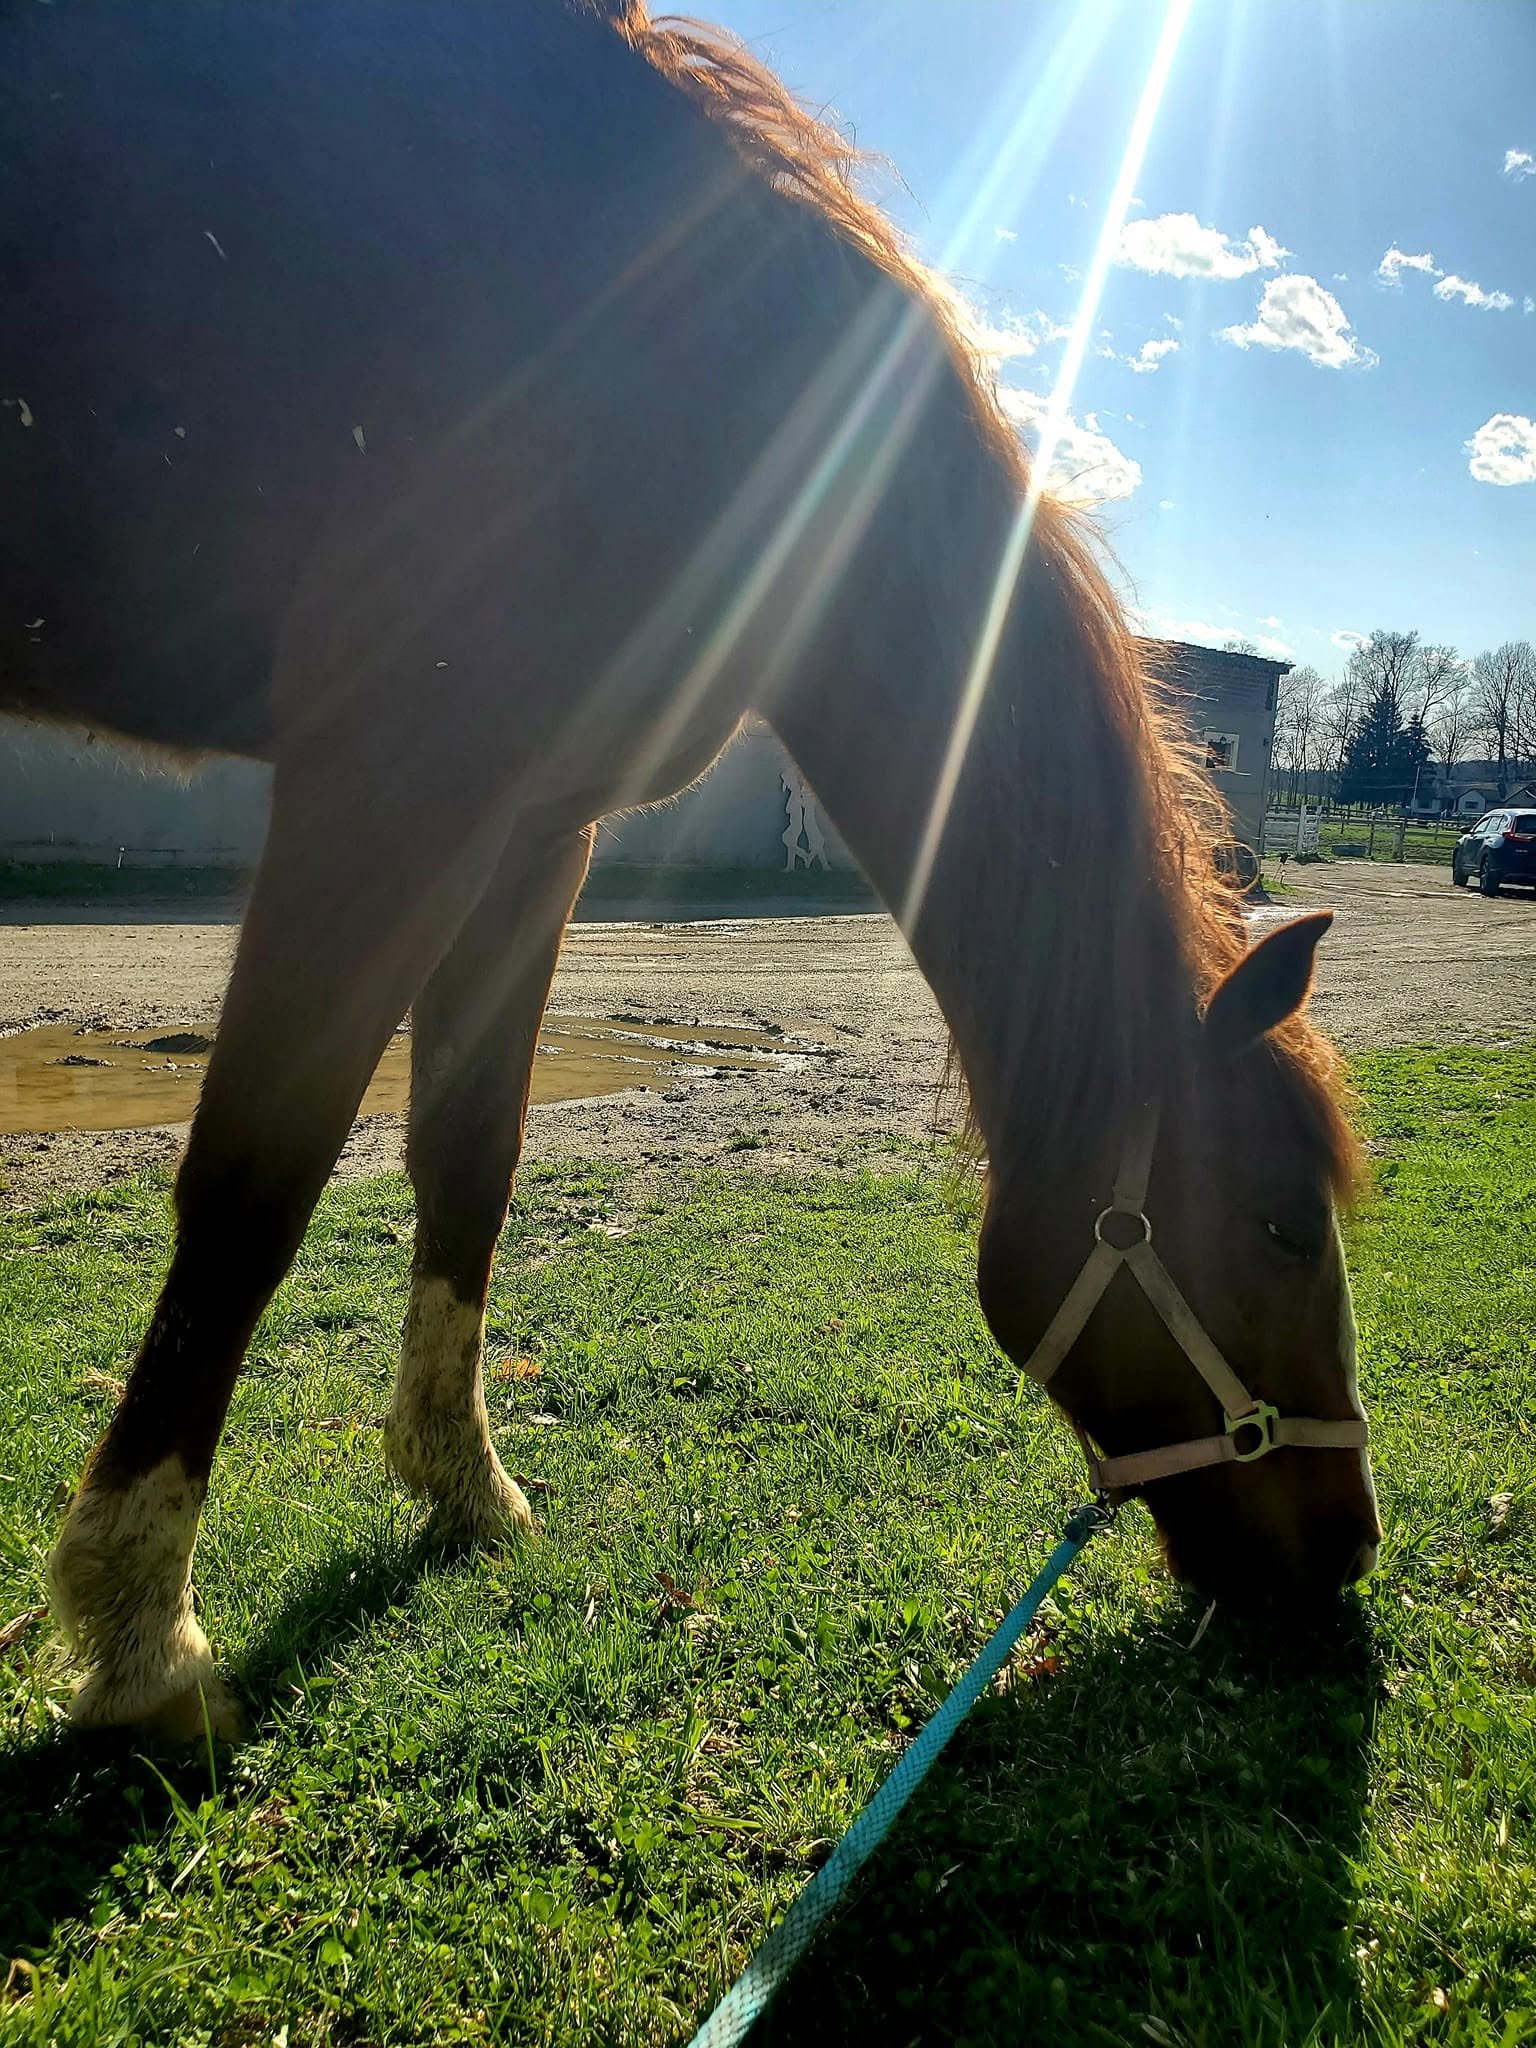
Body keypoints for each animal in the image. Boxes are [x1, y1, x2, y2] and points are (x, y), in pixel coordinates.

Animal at [0, 0, 1379, 1738]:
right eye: (1280, 1230)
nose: (1347, 1552)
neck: (692, 380)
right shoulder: (391, 782)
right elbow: (256, 1180)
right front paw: (140, 1632)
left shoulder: (534, 826)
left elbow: (472, 1155)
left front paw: (462, 1485)